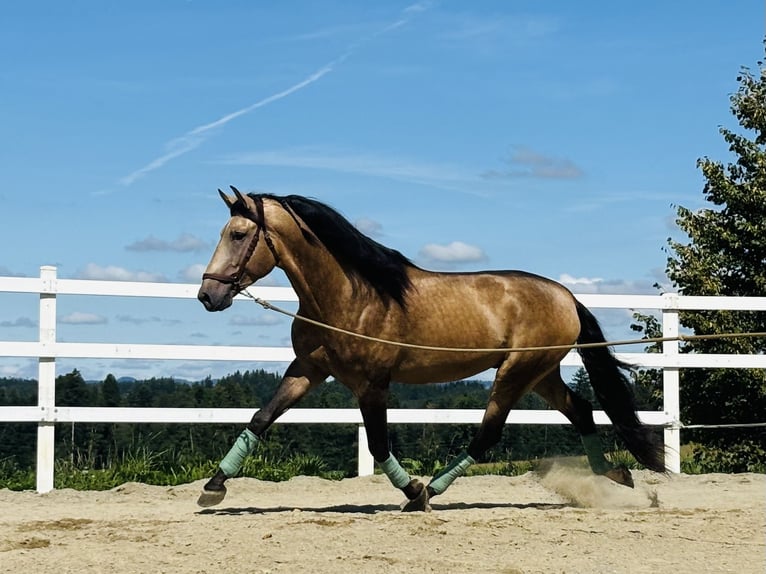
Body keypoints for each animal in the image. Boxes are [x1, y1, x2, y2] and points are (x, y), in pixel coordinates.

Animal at [196, 187, 664, 510]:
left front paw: (413, 489)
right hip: (541, 374)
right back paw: (615, 474)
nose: (207, 295)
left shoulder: (372, 384)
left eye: (238, 234)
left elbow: (378, 444)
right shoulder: (308, 370)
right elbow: (262, 418)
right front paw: (214, 487)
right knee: (582, 411)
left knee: (488, 434)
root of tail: (566, 296)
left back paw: (433, 490)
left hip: (517, 372)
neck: (351, 296)